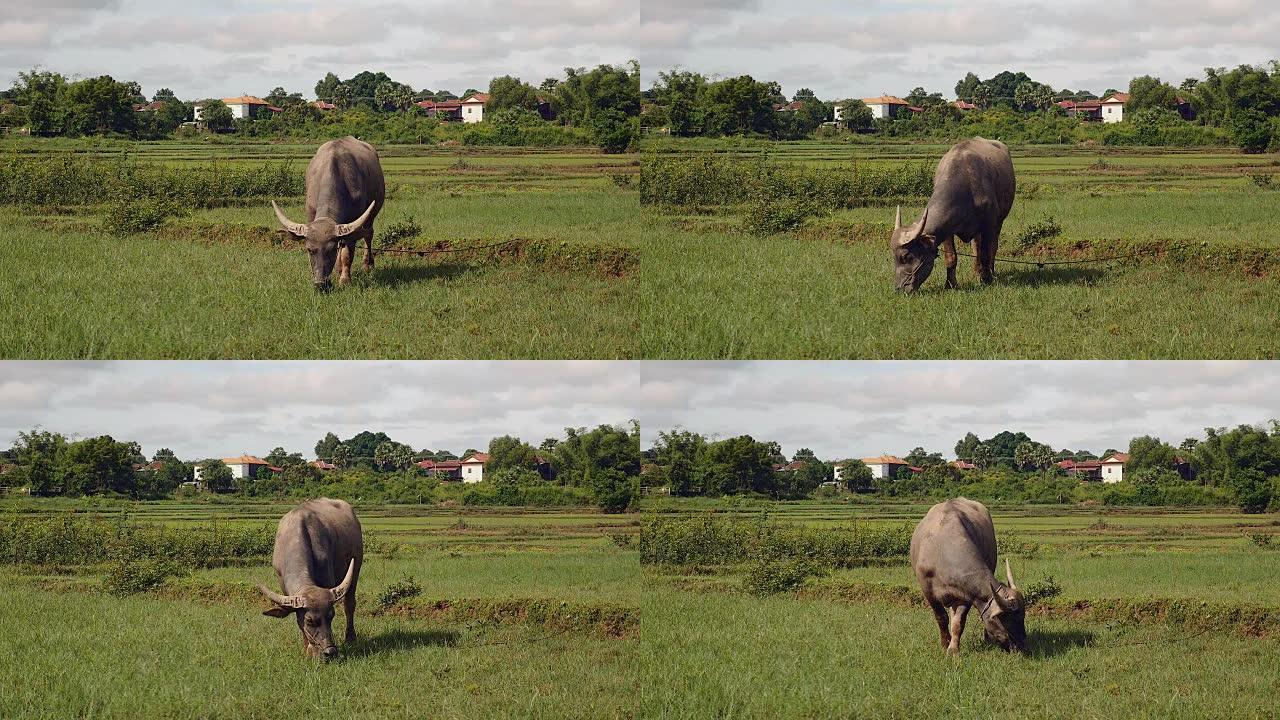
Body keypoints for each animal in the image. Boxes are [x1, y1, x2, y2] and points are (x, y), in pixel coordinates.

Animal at [257, 497, 363, 661]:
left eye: (331, 615)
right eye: (309, 620)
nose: (330, 652)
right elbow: (298, 620)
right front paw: (307, 649)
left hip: (357, 565)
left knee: (349, 604)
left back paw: (350, 637)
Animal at [271, 135, 381, 289]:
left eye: (331, 249)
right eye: (309, 249)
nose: (320, 284)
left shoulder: (353, 224)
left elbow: (347, 253)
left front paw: (345, 280)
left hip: (370, 217)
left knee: (368, 235)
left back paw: (367, 265)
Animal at [896, 135, 1013, 289]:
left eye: (905, 256)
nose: (899, 288)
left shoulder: (989, 223)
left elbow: (986, 253)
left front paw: (986, 279)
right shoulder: (946, 228)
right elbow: (951, 257)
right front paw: (950, 284)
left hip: (999, 221)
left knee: (993, 246)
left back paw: (990, 272)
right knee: (976, 246)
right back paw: (977, 271)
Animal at [906, 497, 1024, 653]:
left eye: (1023, 618)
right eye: (1009, 619)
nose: (1021, 645)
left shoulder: (967, 595)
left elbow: (959, 622)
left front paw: (953, 649)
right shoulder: (928, 591)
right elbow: (941, 617)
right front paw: (945, 644)